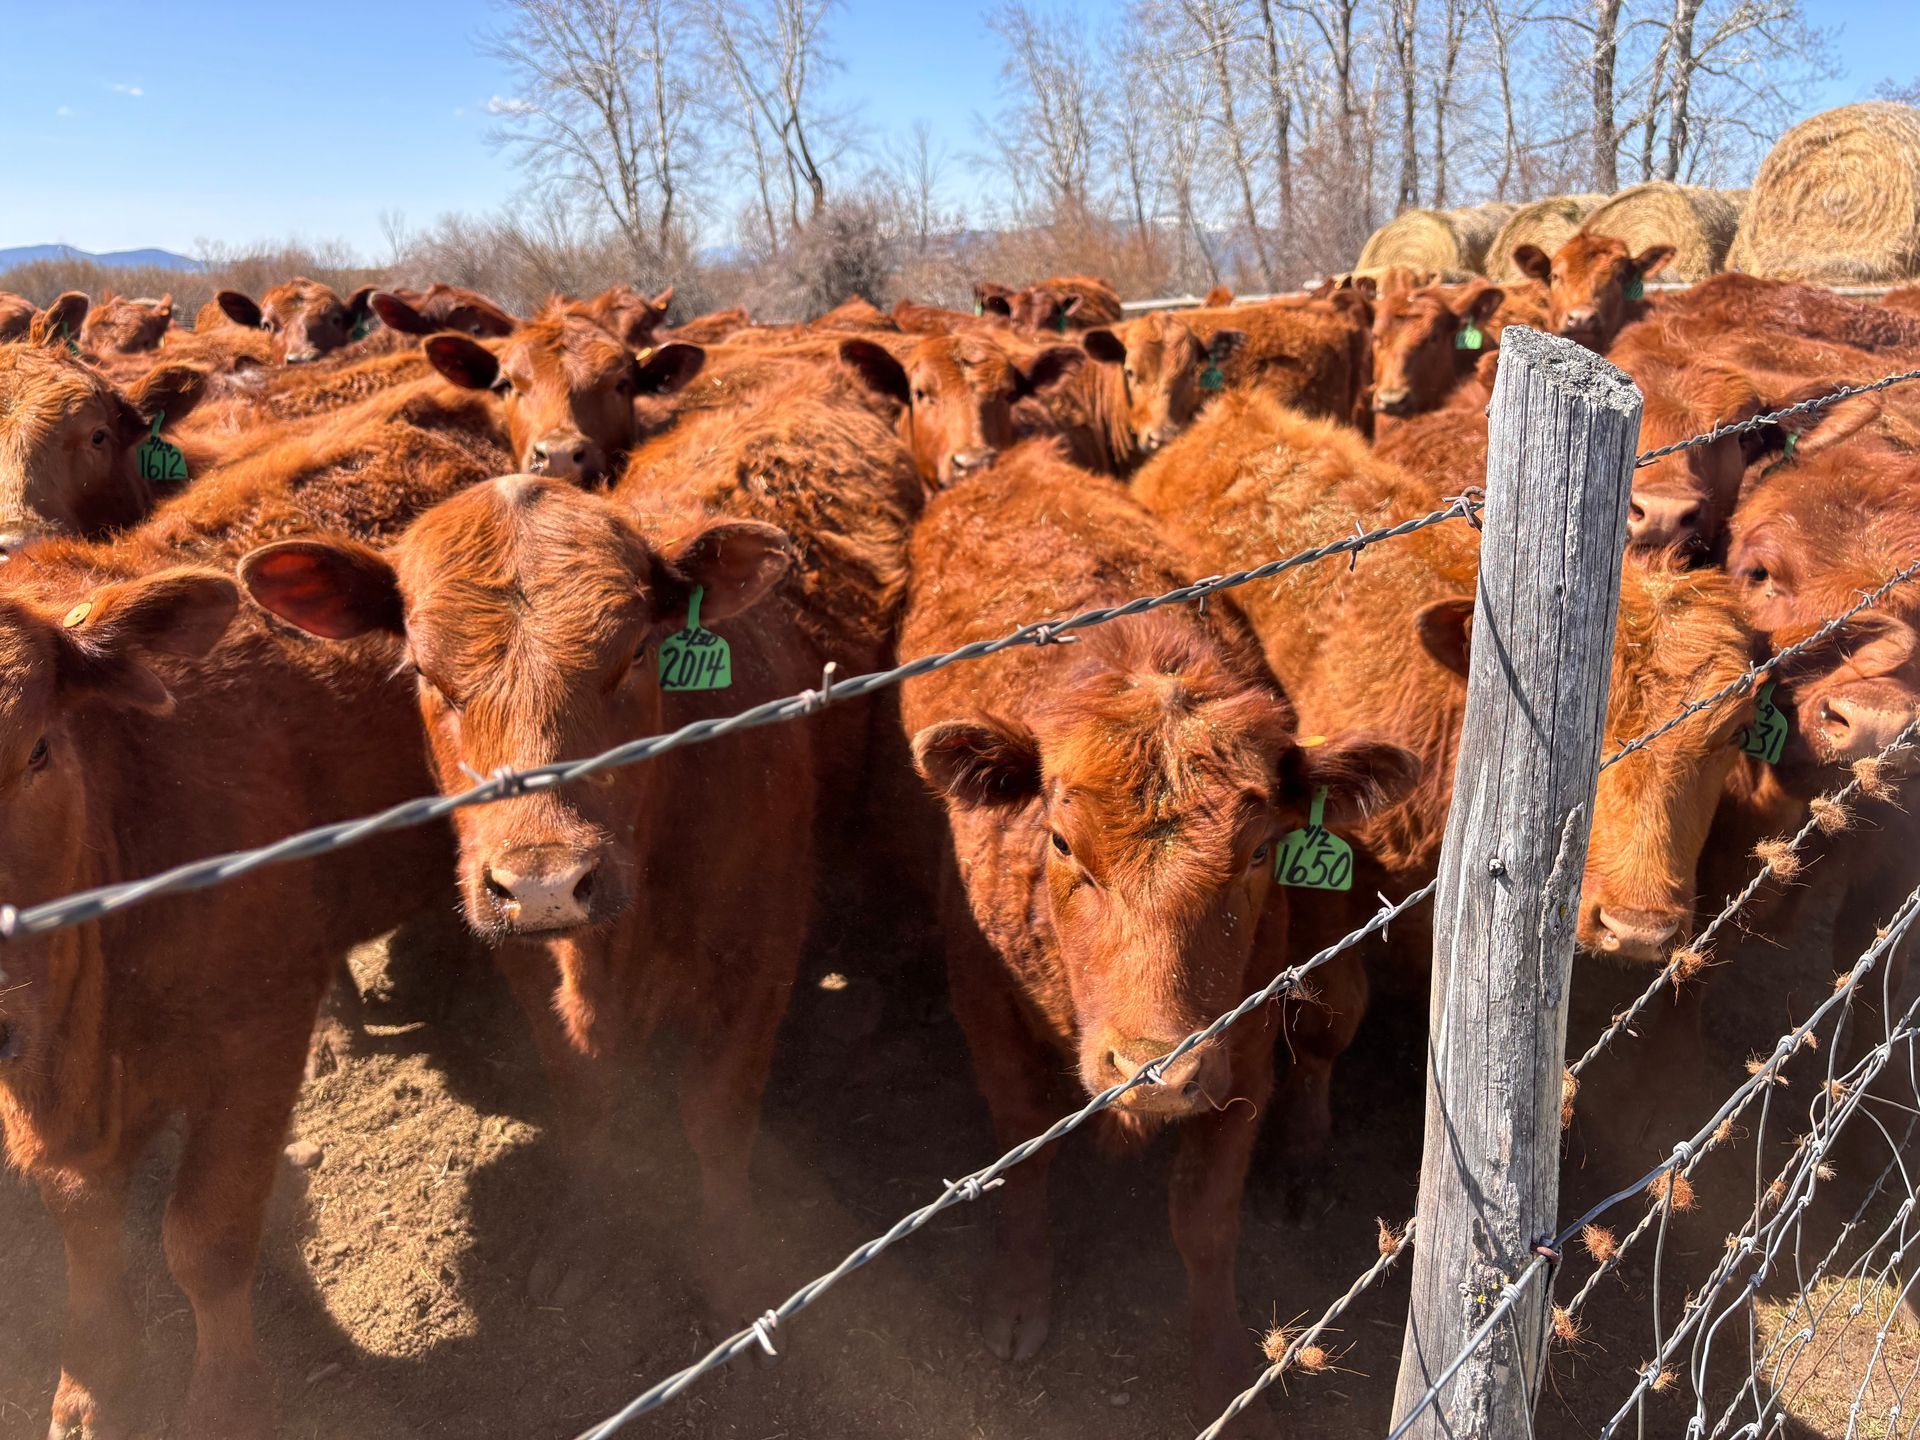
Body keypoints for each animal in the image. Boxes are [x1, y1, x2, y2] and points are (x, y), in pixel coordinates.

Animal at [240, 476, 817, 1326]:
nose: (544, 883)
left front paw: (735, 1265)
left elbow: (716, 1114)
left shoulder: (761, 942)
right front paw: (582, 1238)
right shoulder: (525, 962)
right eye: (424, 672)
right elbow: (582, 1104)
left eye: (636, 652)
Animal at [898, 439, 1414, 1424]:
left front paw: (1223, 1376)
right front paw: (1019, 1296)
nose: (1156, 1071)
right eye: (1060, 841)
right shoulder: (985, 1006)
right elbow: (1024, 1155)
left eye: (1261, 850)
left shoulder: (1241, 1047)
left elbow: (1204, 1224)